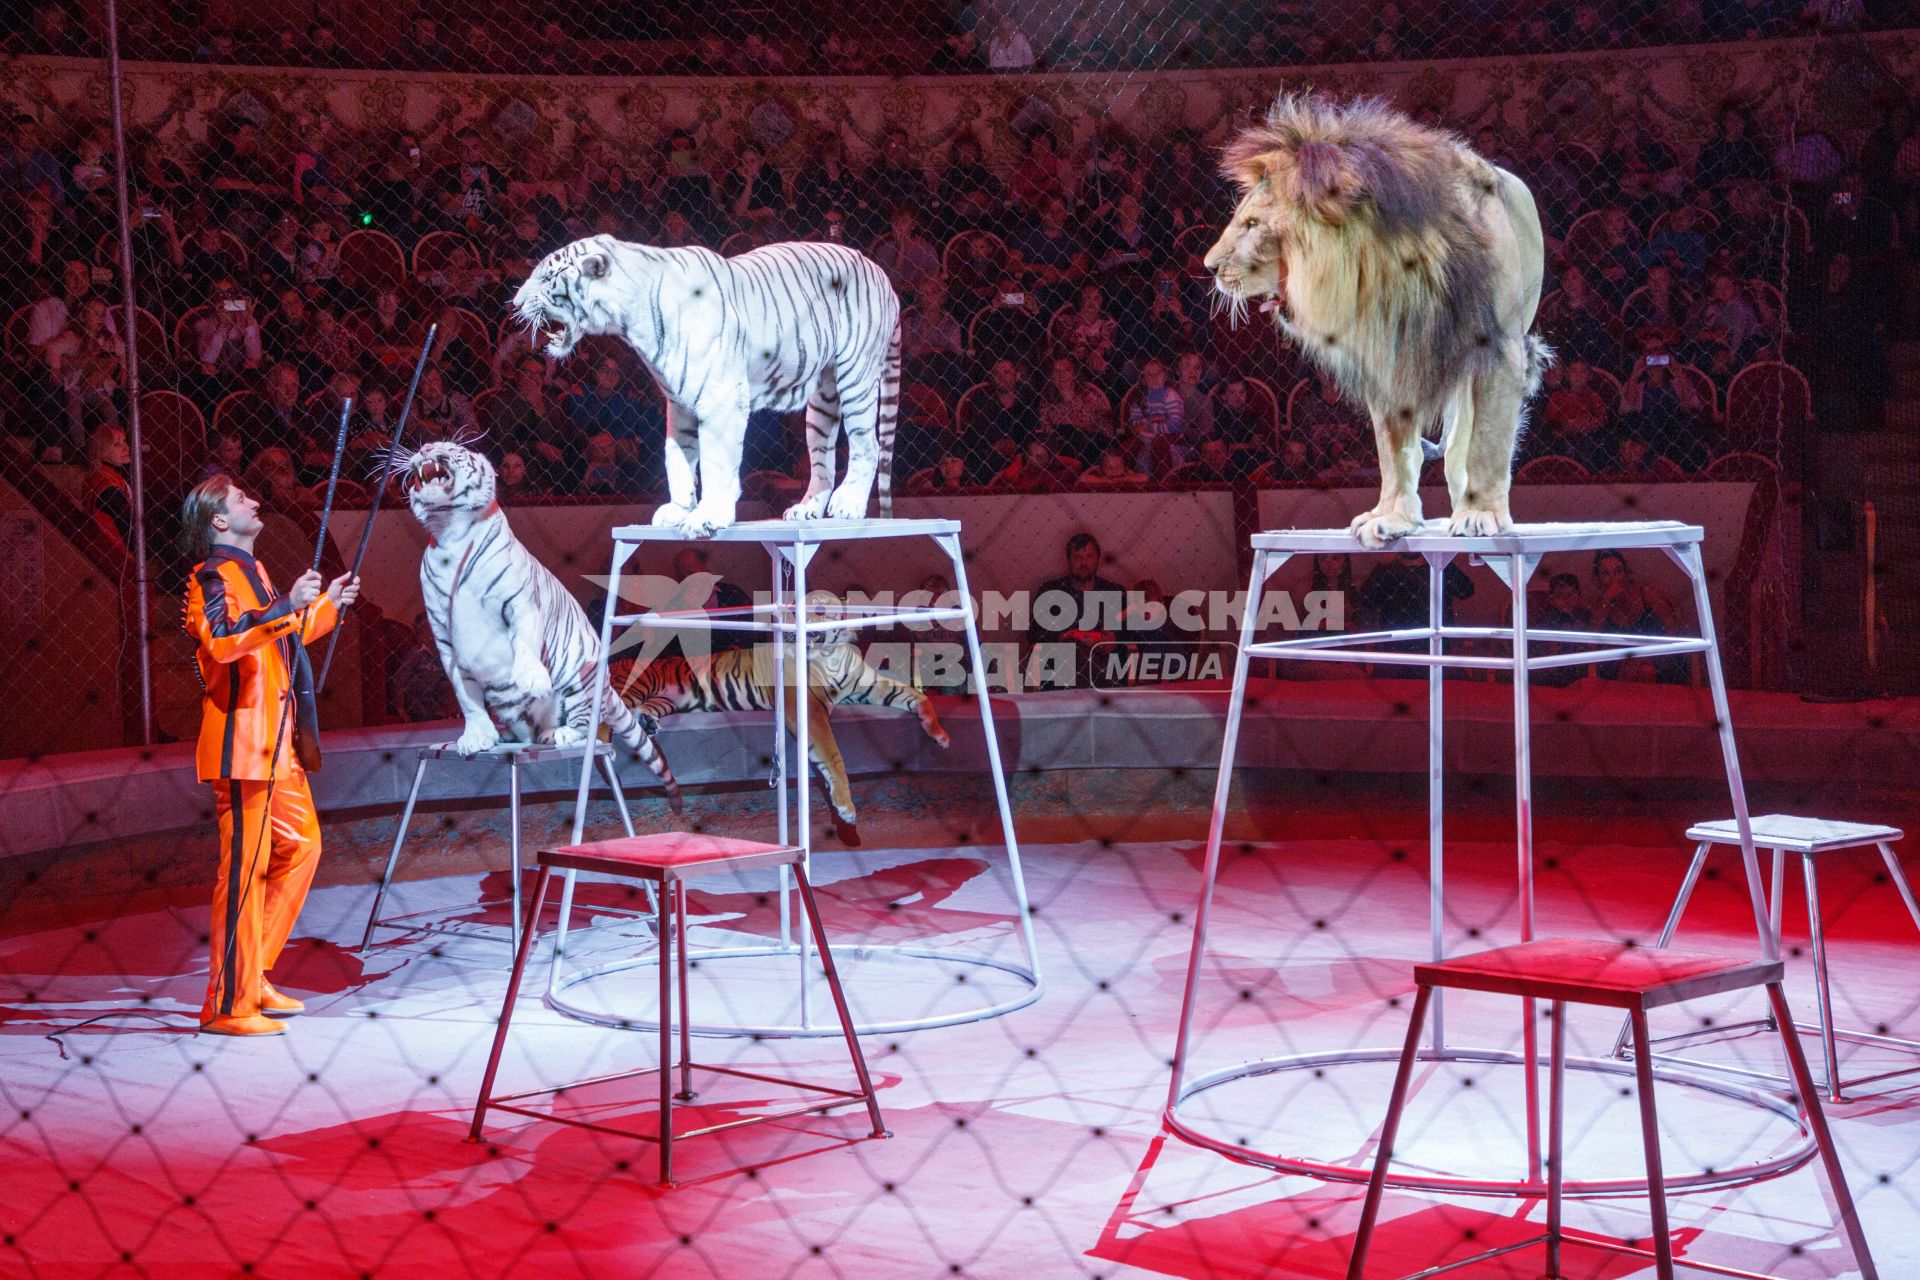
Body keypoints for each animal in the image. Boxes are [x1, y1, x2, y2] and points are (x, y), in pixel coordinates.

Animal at [397, 445, 683, 805]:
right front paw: (476, 736)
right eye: (428, 446)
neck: (451, 533)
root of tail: (606, 686)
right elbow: (466, 696)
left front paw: (531, 679)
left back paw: (559, 733)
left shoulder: (520, 602)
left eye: (454, 449)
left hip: (580, 678)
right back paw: (508, 733)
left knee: (586, 726)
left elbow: (524, 643)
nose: (425, 450)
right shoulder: (443, 634)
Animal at [510, 237, 898, 541]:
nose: (514, 304)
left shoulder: (722, 398)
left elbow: (715, 461)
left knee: (868, 443)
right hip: (823, 398)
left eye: (547, 277)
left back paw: (849, 503)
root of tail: (883, 275)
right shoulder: (679, 403)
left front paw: (708, 515)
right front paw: (679, 508)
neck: (629, 319)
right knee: (823, 458)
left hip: (856, 375)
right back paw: (808, 509)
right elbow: (677, 457)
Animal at [610, 594, 948, 844]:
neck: (833, 655)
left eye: (820, 609)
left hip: (666, 700)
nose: (789, 622)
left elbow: (918, 697)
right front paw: (846, 808)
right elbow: (833, 755)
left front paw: (939, 734)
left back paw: (648, 725)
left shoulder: (871, 686)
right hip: (634, 686)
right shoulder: (811, 709)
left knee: (640, 714)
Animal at [1205, 94, 1551, 545]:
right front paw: (1391, 516)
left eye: (1251, 224)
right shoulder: (1388, 354)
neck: (1392, 264)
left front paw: (1481, 512)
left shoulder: (1498, 348)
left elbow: (1488, 442)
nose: (1209, 266)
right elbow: (1393, 451)